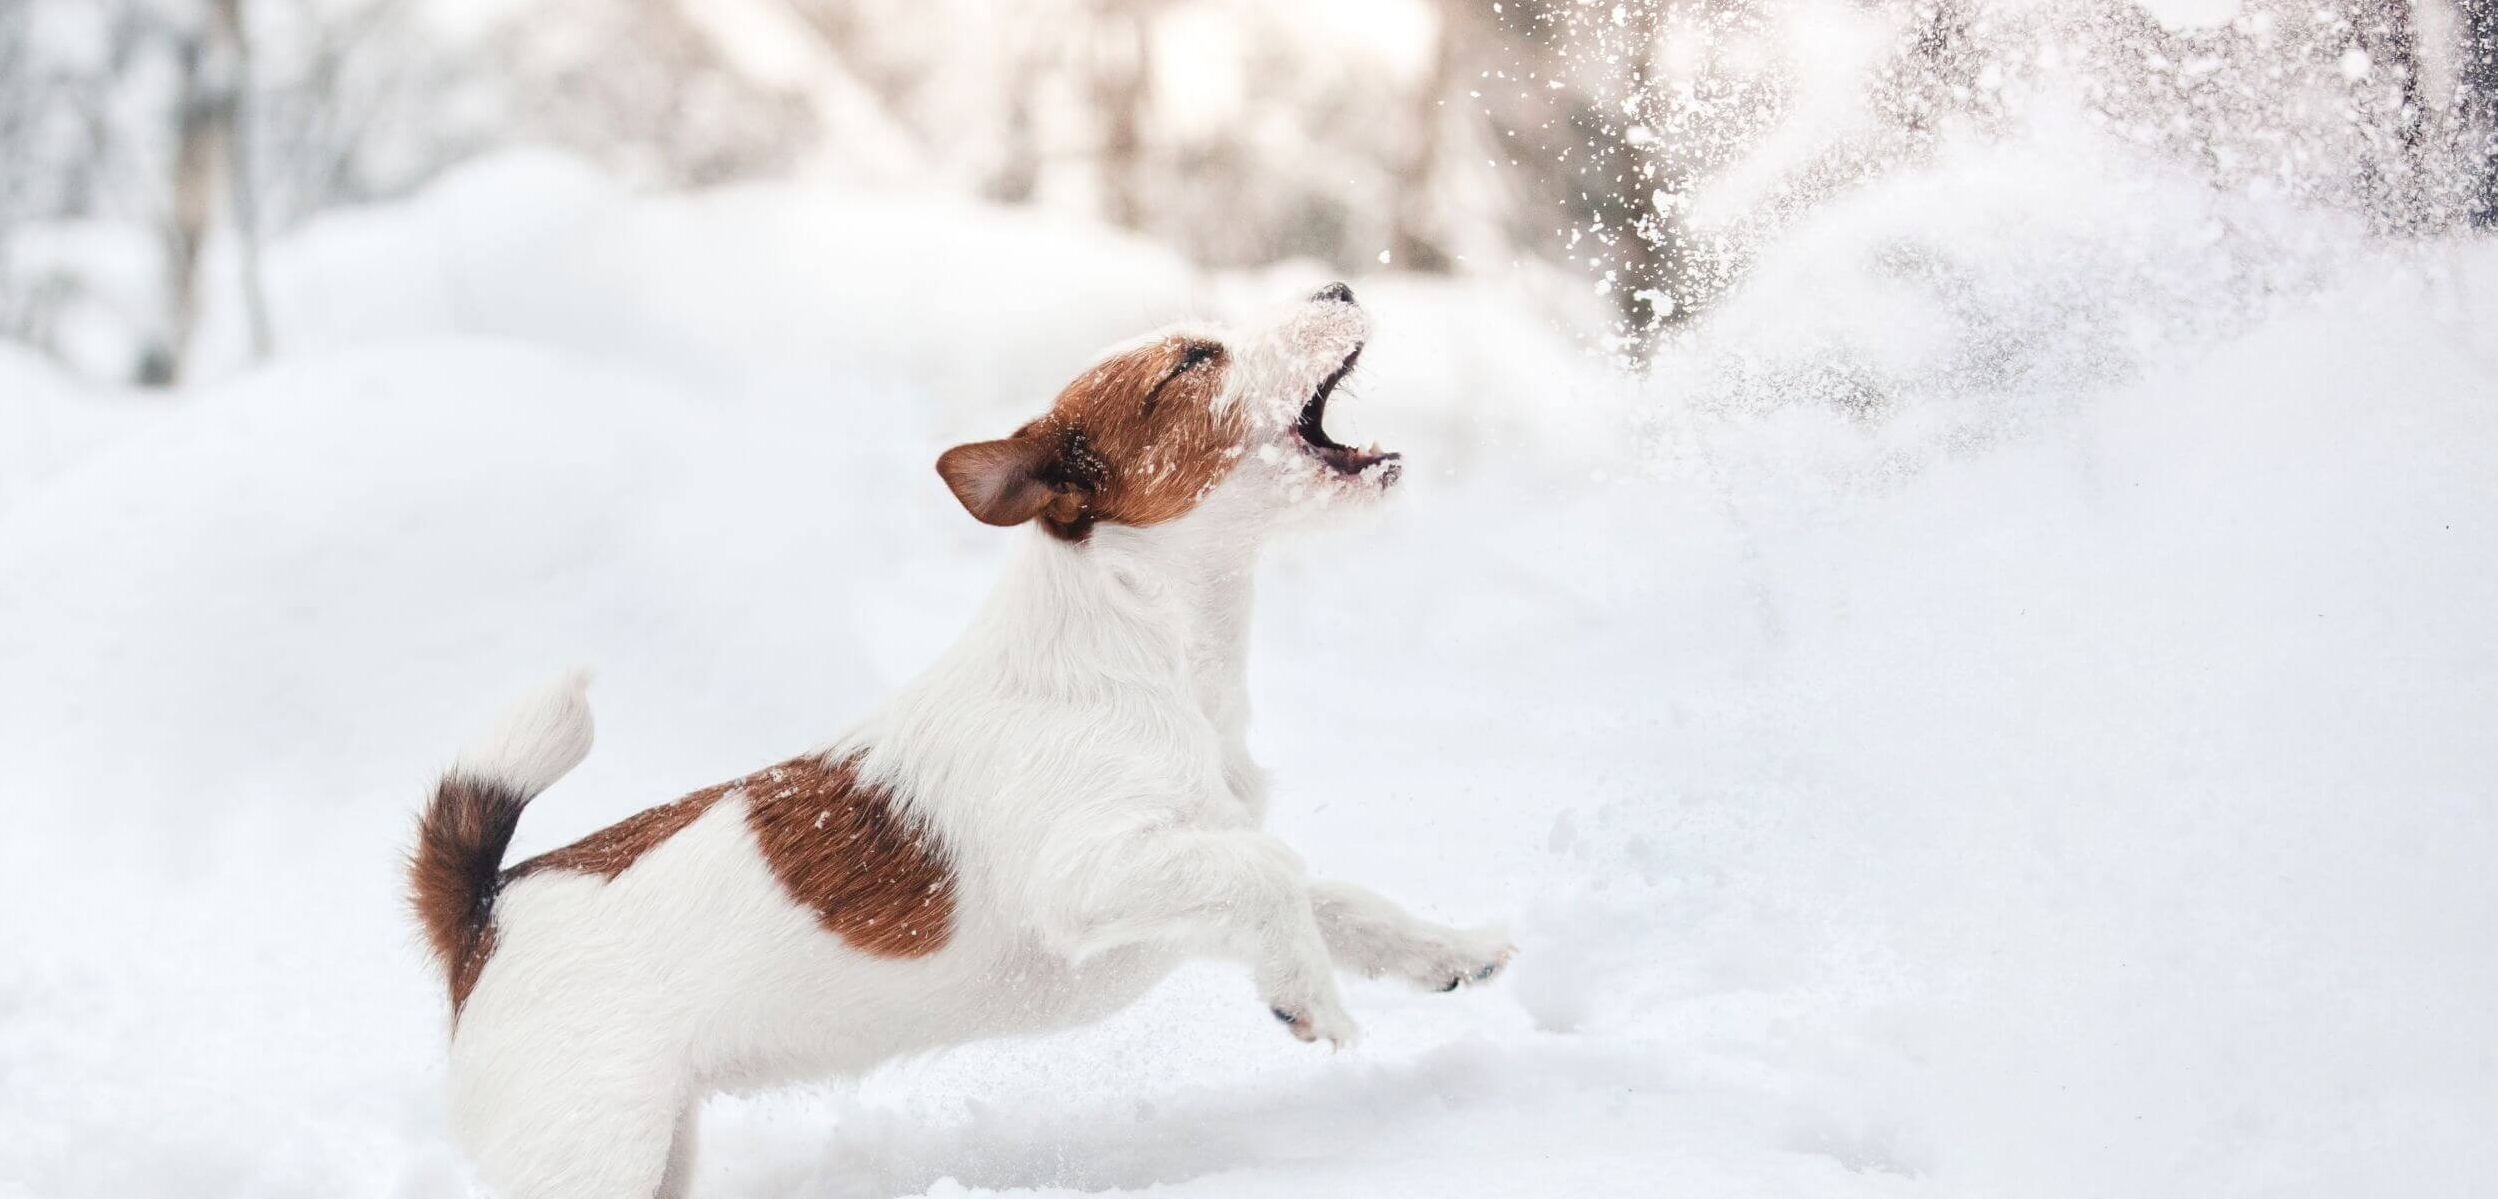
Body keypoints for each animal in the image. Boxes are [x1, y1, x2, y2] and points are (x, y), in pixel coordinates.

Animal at [404, 286, 1518, 1194]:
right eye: (1194, 359)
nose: (1337, 284)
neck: (1142, 642)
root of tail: (486, 910)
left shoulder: (1175, 884)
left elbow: (1328, 894)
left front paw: (1446, 950)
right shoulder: (1088, 875)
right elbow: (1272, 870)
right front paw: (1309, 999)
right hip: (595, 1148)